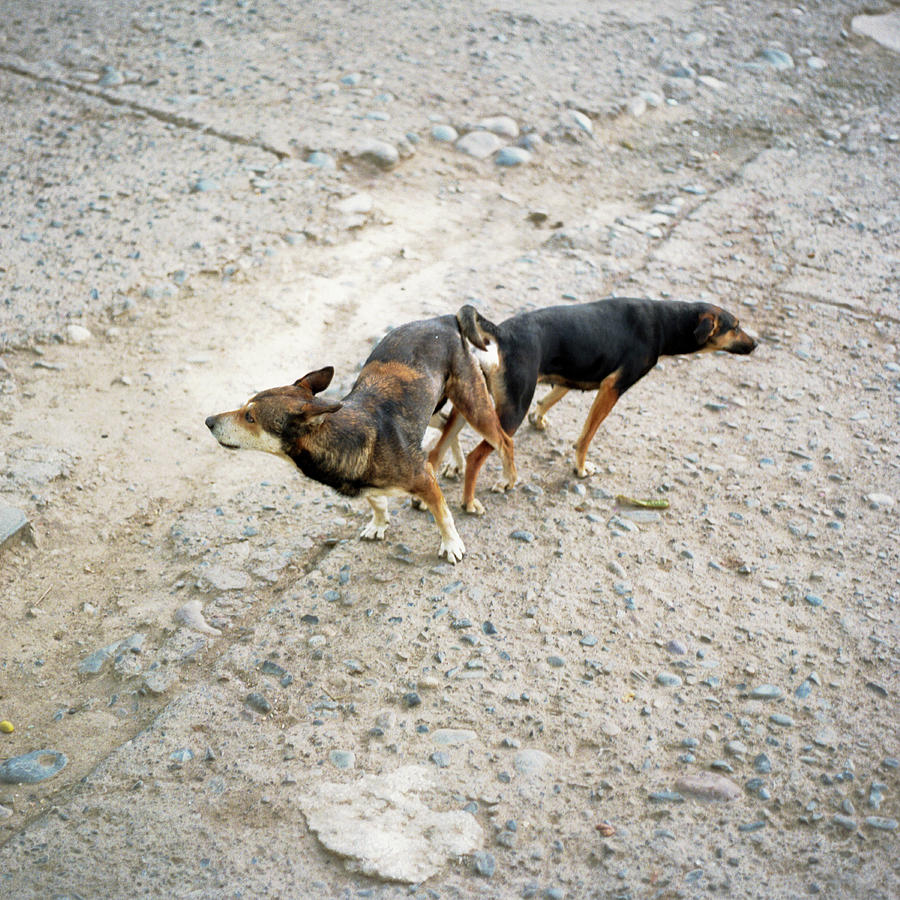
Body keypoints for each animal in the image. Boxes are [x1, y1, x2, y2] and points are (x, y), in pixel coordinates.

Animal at [204, 316, 512, 564]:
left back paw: (508, 478)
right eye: (245, 409)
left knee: (504, 440)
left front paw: (451, 545)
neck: (339, 437)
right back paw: (456, 462)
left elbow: (444, 515)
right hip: (430, 407)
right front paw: (379, 523)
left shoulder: (423, 477)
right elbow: (376, 501)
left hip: (474, 404)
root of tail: (446, 319)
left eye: (250, 417)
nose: (208, 422)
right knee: (448, 424)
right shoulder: (366, 481)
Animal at [432, 296, 756, 506]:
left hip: (471, 404)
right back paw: (478, 497)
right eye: (735, 326)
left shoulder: (573, 375)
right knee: (480, 455)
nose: (756, 343)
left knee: (437, 449)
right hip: (511, 411)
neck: (664, 321)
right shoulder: (612, 388)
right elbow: (587, 435)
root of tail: (501, 334)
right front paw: (580, 468)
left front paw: (540, 419)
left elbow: (551, 398)